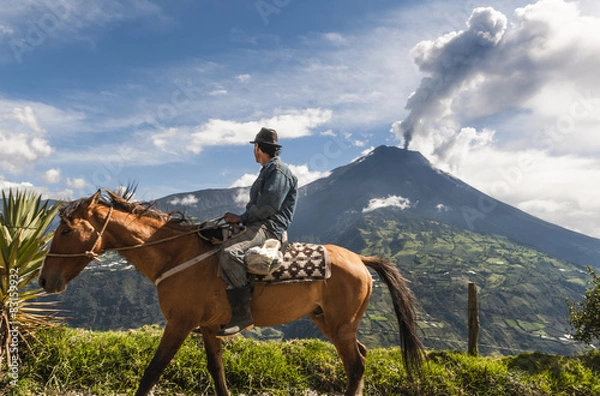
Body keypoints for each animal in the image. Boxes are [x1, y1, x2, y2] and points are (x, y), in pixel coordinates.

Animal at [39, 189, 424, 396]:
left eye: (67, 231)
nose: (44, 281)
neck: (178, 255)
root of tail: (360, 258)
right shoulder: (209, 328)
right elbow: (217, 370)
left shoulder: (180, 323)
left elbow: (153, 370)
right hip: (326, 321)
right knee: (359, 357)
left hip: (341, 325)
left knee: (356, 363)